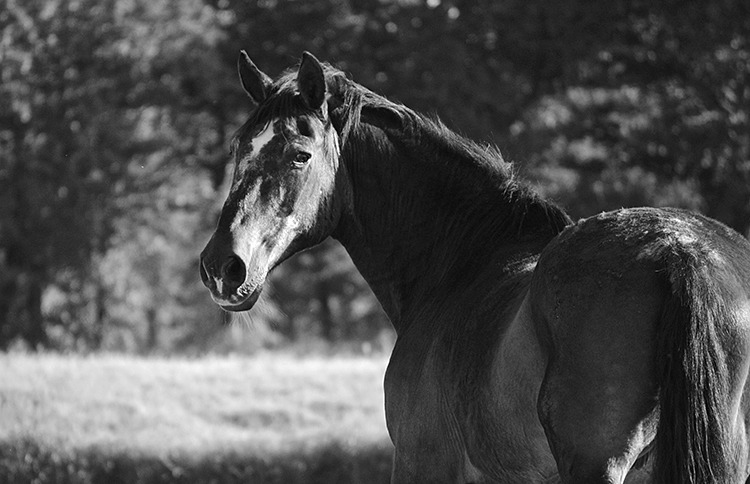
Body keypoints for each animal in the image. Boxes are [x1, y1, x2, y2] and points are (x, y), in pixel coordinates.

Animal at [199, 51, 750, 483]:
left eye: (299, 154)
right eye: (238, 147)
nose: (223, 266)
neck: (461, 262)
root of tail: (681, 250)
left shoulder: (420, 464)